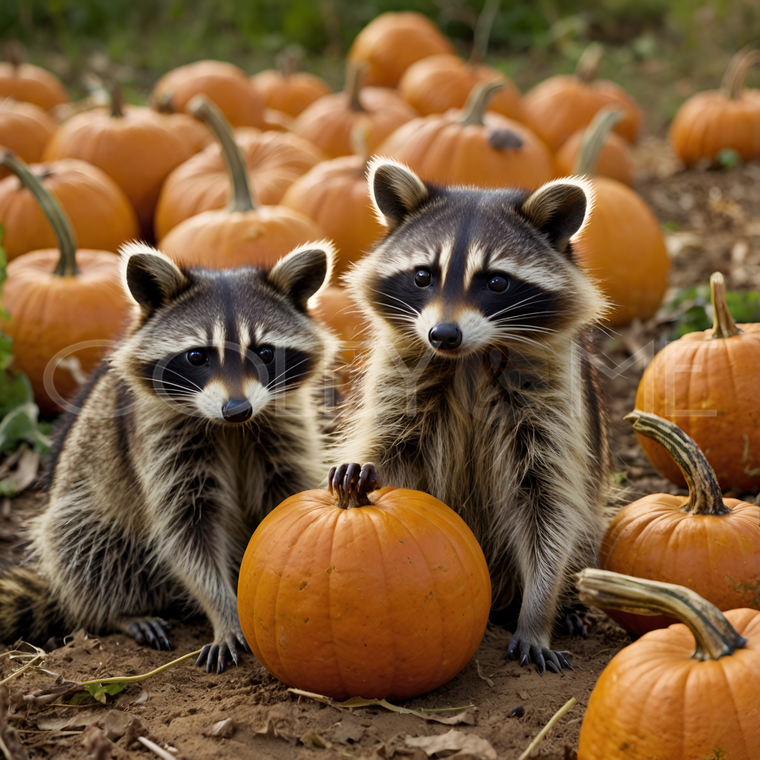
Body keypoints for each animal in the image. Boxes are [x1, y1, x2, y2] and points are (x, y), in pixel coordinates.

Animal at [0, 241, 336, 672]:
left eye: (265, 352)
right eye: (197, 356)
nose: (238, 409)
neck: (229, 429)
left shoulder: (284, 427)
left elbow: (285, 500)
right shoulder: (157, 438)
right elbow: (186, 531)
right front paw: (223, 610)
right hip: (84, 498)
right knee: (85, 544)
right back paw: (122, 612)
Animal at [334, 160, 610, 674]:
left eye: (496, 281)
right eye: (424, 275)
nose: (443, 335)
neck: (470, 359)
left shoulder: (553, 400)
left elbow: (549, 502)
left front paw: (538, 611)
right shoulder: (403, 372)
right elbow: (394, 445)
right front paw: (365, 467)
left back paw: (563, 604)